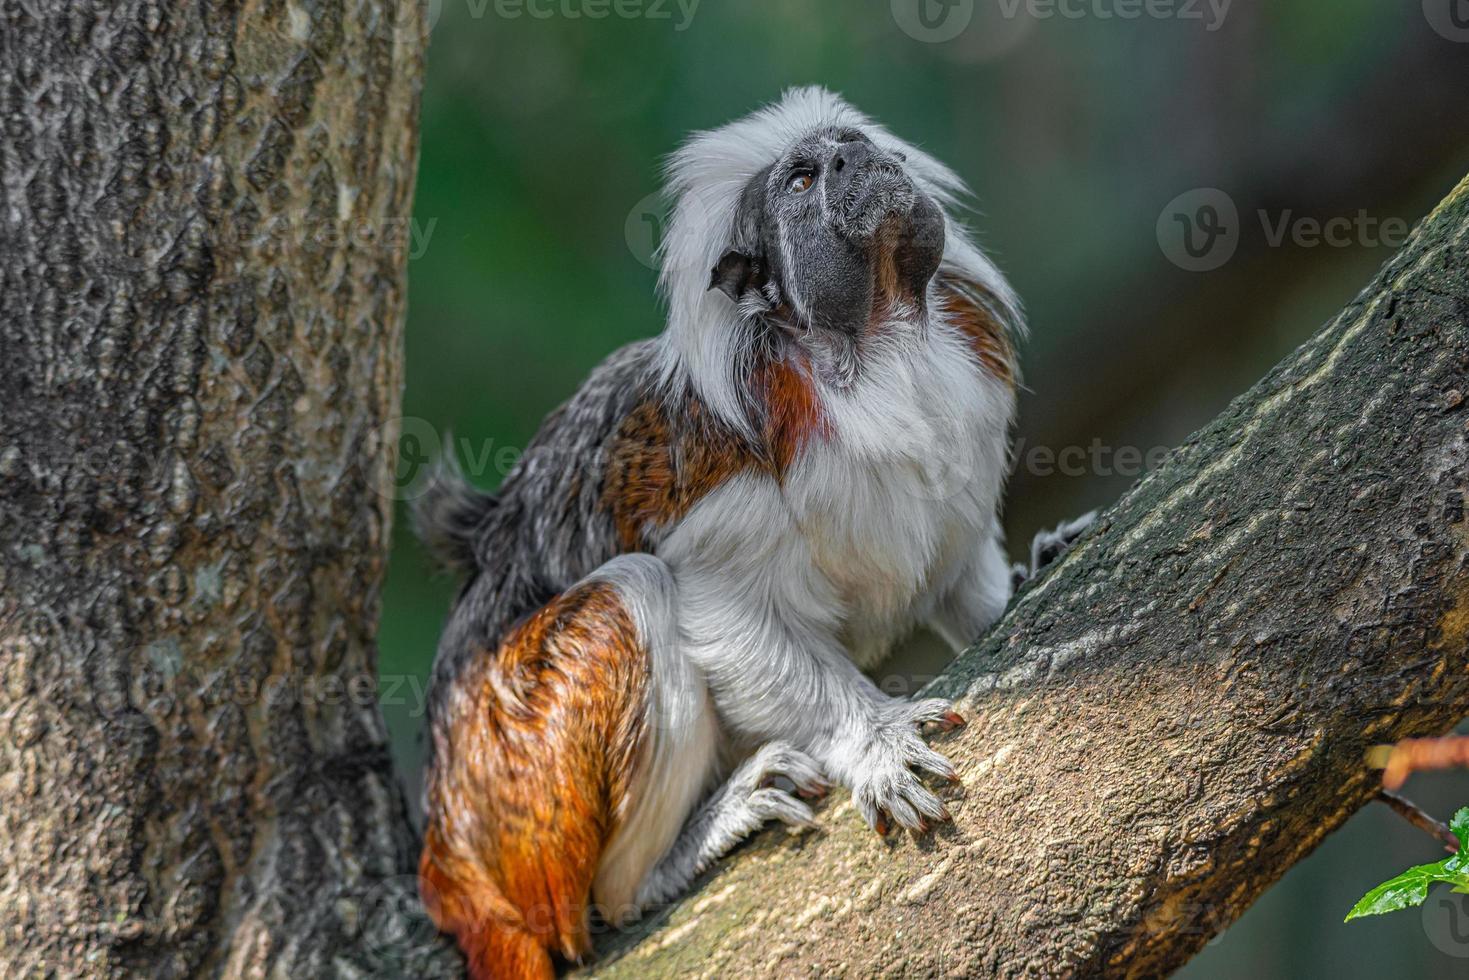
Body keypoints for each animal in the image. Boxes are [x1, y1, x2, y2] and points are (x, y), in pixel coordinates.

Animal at [414, 88, 1092, 975]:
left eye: (852, 145)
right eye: (802, 181)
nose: (848, 158)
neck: (873, 355)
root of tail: (450, 851)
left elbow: (953, 562)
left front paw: (1026, 573)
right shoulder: (721, 488)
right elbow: (726, 617)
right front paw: (872, 737)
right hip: (515, 785)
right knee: (632, 597)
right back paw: (676, 854)